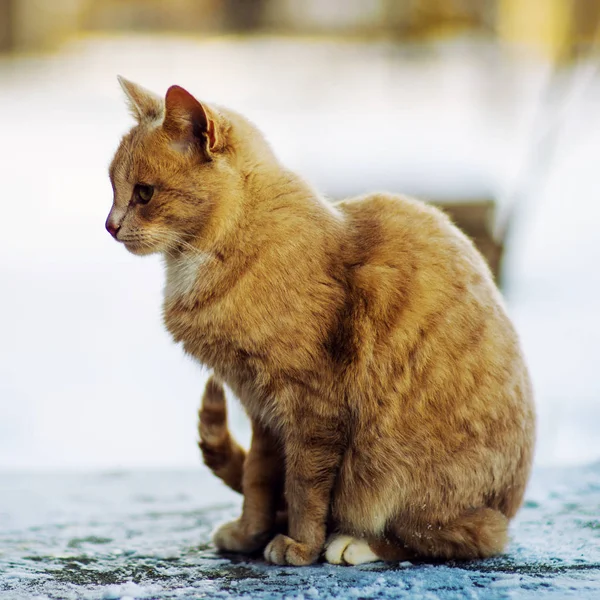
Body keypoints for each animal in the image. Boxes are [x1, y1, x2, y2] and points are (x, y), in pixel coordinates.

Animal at [106, 77, 536, 564]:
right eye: (112, 187)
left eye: (144, 192)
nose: (109, 225)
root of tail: (508, 505)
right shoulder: (262, 411)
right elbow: (258, 478)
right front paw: (250, 534)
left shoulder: (312, 406)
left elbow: (304, 487)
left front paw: (300, 545)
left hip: (399, 478)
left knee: (457, 536)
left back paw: (353, 543)